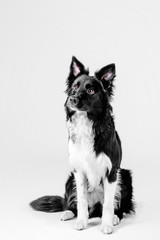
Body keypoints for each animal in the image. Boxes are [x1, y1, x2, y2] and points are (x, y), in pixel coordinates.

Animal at [29, 55, 134, 232]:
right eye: (74, 87)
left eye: (91, 90)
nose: (72, 99)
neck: (87, 121)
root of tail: (95, 206)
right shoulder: (78, 170)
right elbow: (82, 200)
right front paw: (81, 222)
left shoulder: (112, 171)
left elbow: (108, 204)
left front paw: (106, 225)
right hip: (70, 179)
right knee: (73, 204)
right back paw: (68, 213)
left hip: (125, 175)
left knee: (115, 206)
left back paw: (114, 218)